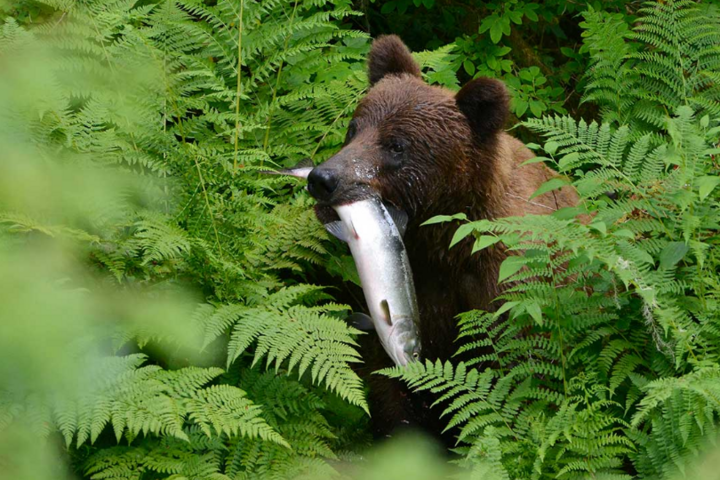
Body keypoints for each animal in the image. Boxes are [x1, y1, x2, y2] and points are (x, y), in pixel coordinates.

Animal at [306, 35, 578, 441]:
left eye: (397, 145)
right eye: (354, 128)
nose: (323, 179)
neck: (444, 240)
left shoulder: (505, 290)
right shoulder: (419, 289)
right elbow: (390, 387)